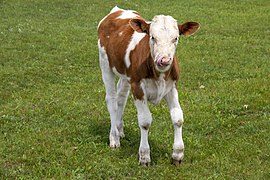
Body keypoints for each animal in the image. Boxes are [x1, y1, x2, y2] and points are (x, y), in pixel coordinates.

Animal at [96, 6, 198, 165]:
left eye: (176, 38)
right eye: (152, 37)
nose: (164, 60)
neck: (159, 75)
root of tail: (117, 10)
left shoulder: (172, 87)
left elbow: (178, 118)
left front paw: (178, 154)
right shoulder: (137, 87)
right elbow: (145, 121)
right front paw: (144, 156)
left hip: (125, 76)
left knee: (121, 98)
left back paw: (120, 130)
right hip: (105, 65)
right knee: (112, 100)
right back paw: (114, 138)